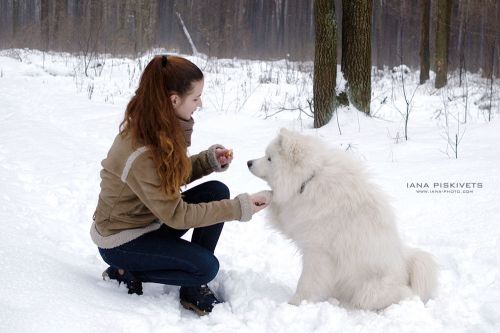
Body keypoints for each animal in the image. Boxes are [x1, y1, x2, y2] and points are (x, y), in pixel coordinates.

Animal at [249, 128, 438, 310]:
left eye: (269, 158)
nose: (248, 162)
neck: (307, 180)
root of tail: (405, 268)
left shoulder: (317, 252)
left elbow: (306, 282)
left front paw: (295, 304)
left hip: (368, 291)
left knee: (401, 295)